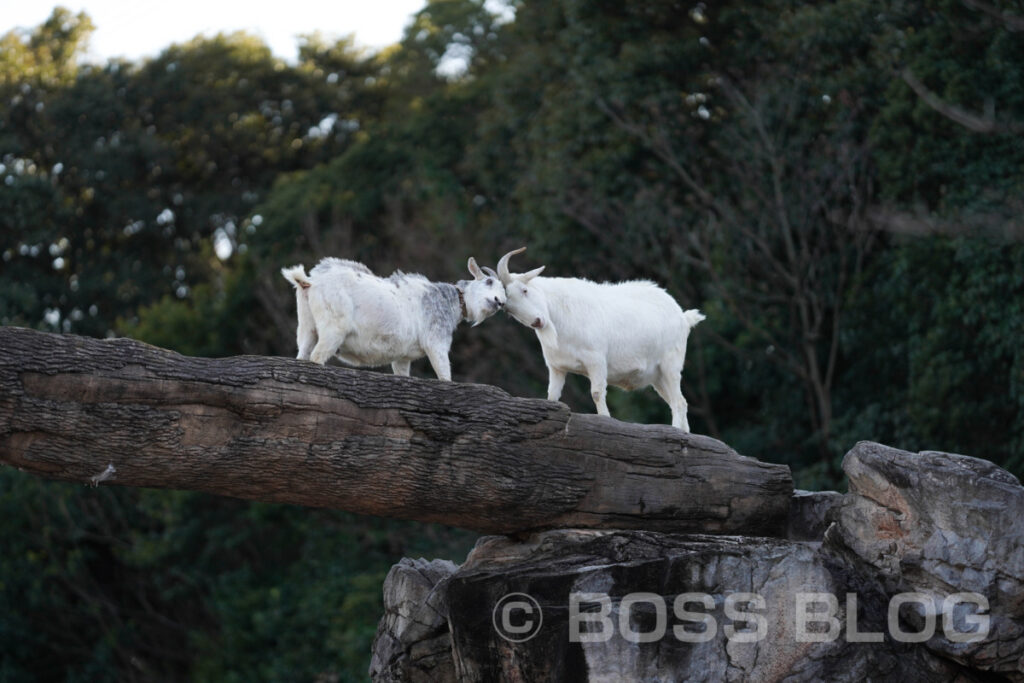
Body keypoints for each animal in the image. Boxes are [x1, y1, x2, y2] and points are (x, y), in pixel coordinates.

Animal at [282, 259, 505, 382]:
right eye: (489, 281)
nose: (500, 301)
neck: (451, 300)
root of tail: (309, 281)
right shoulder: (436, 343)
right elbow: (444, 376)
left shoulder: (402, 358)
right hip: (333, 330)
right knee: (317, 356)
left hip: (307, 328)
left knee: (303, 353)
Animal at [487, 246, 704, 432]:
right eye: (508, 310)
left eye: (525, 290)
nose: (538, 321)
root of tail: (683, 317)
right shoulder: (556, 367)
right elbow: (552, 396)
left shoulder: (596, 361)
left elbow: (597, 392)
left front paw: (605, 420)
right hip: (657, 376)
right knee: (678, 402)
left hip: (670, 365)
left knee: (679, 402)